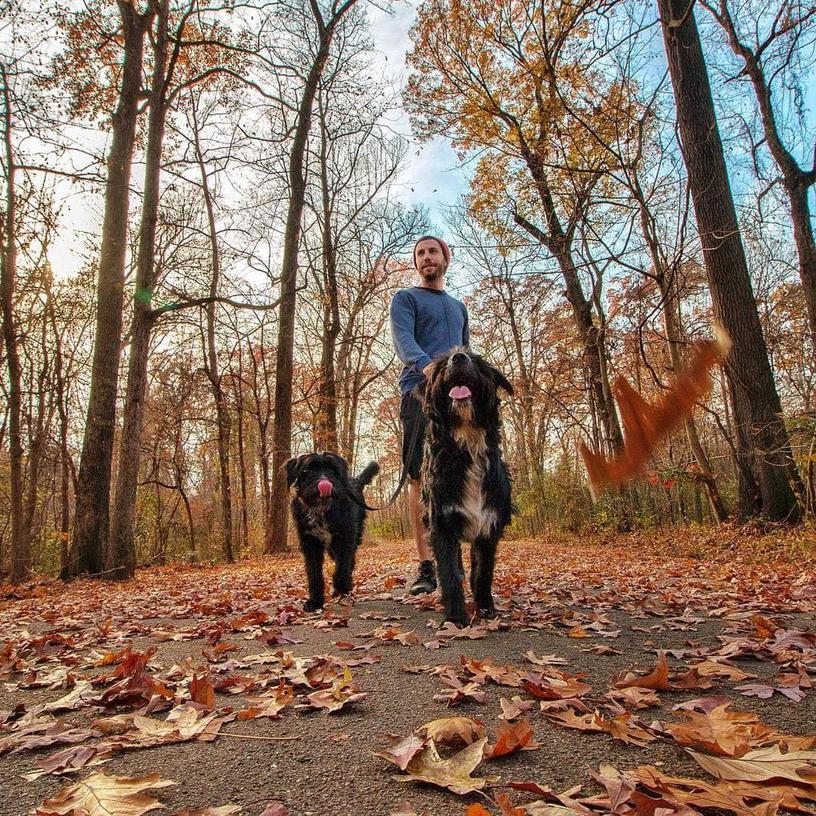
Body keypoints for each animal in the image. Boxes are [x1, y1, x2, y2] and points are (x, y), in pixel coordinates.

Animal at [286, 452, 380, 612]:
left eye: (332, 469)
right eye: (308, 470)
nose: (325, 484)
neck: (323, 511)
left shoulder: (346, 538)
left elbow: (343, 565)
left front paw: (341, 587)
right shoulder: (310, 543)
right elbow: (314, 573)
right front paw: (315, 601)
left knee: (349, 561)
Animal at [420, 350, 510, 624]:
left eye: (477, 361)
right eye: (442, 364)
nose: (459, 358)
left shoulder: (489, 523)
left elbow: (483, 571)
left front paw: (485, 606)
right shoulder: (442, 524)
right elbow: (449, 572)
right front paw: (456, 616)